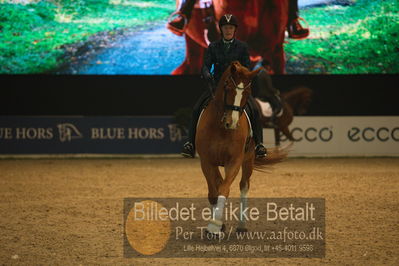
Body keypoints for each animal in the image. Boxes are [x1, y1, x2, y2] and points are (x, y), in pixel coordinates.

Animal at [196, 60, 288, 235]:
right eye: (227, 87)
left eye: (248, 92)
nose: (231, 123)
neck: (220, 128)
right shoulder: (207, 161)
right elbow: (213, 192)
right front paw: (217, 226)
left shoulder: (235, 161)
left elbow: (224, 189)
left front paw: (215, 225)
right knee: (219, 183)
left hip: (248, 159)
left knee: (244, 185)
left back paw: (241, 225)